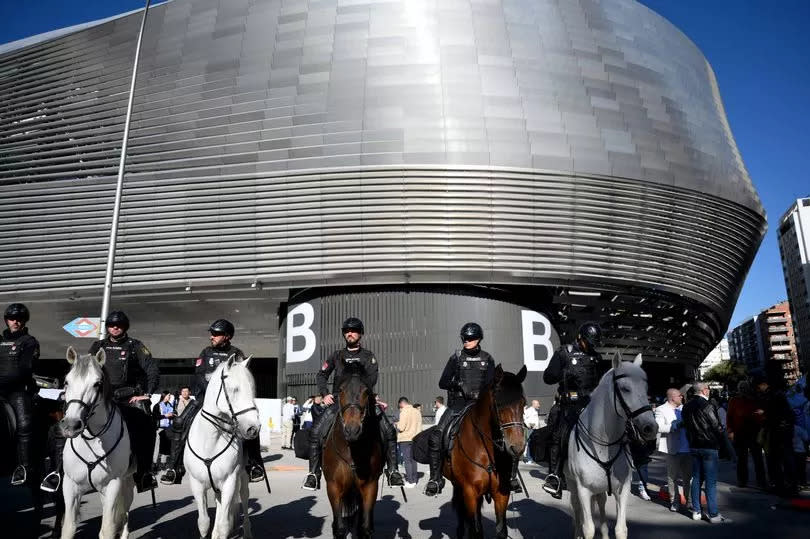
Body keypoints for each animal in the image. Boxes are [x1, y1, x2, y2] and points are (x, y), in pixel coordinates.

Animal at [60, 348, 134, 536]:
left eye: (97, 384)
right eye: (66, 381)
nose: (71, 425)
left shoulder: (113, 485)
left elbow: (107, 529)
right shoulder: (70, 486)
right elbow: (69, 528)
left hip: (127, 484)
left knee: (124, 517)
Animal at [320, 362, 384, 539]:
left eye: (366, 391)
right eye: (341, 390)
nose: (352, 430)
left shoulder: (370, 485)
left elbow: (365, 527)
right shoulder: (333, 486)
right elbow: (339, 528)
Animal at [442, 364, 524, 536]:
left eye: (523, 403)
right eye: (499, 403)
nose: (518, 447)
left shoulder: (501, 493)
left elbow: (501, 529)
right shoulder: (470, 492)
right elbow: (476, 530)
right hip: (459, 486)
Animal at [560, 354, 656, 539]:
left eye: (646, 387)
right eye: (625, 389)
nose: (651, 428)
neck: (603, 445)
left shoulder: (623, 489)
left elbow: (620, 529)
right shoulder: (583, 490)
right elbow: (588, 528)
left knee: (601, 506)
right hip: (572, 483)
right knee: (576, 509)